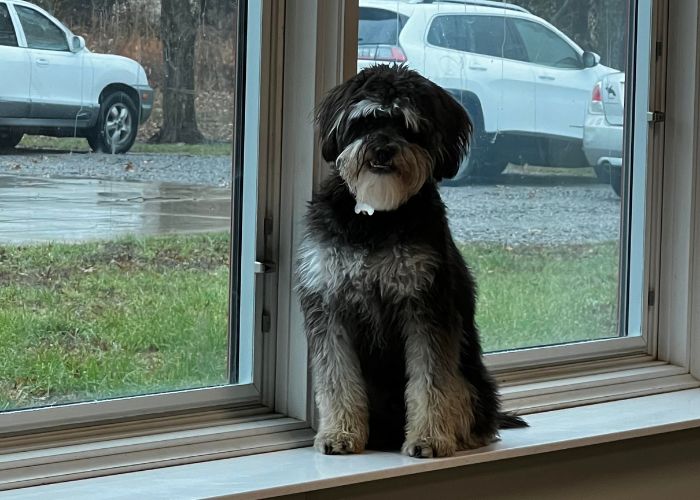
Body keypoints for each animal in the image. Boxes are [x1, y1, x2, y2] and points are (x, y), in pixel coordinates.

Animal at [296, 65, 524, 458]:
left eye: (408, 125)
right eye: (367, 121)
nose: (383, 150)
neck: (376, 218)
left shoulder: (425, 307)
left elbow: (431, 383)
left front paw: (429, 438)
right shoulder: (329, 305)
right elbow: (337, 377)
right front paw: (340, 432)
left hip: (473, 380)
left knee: (467, 408)